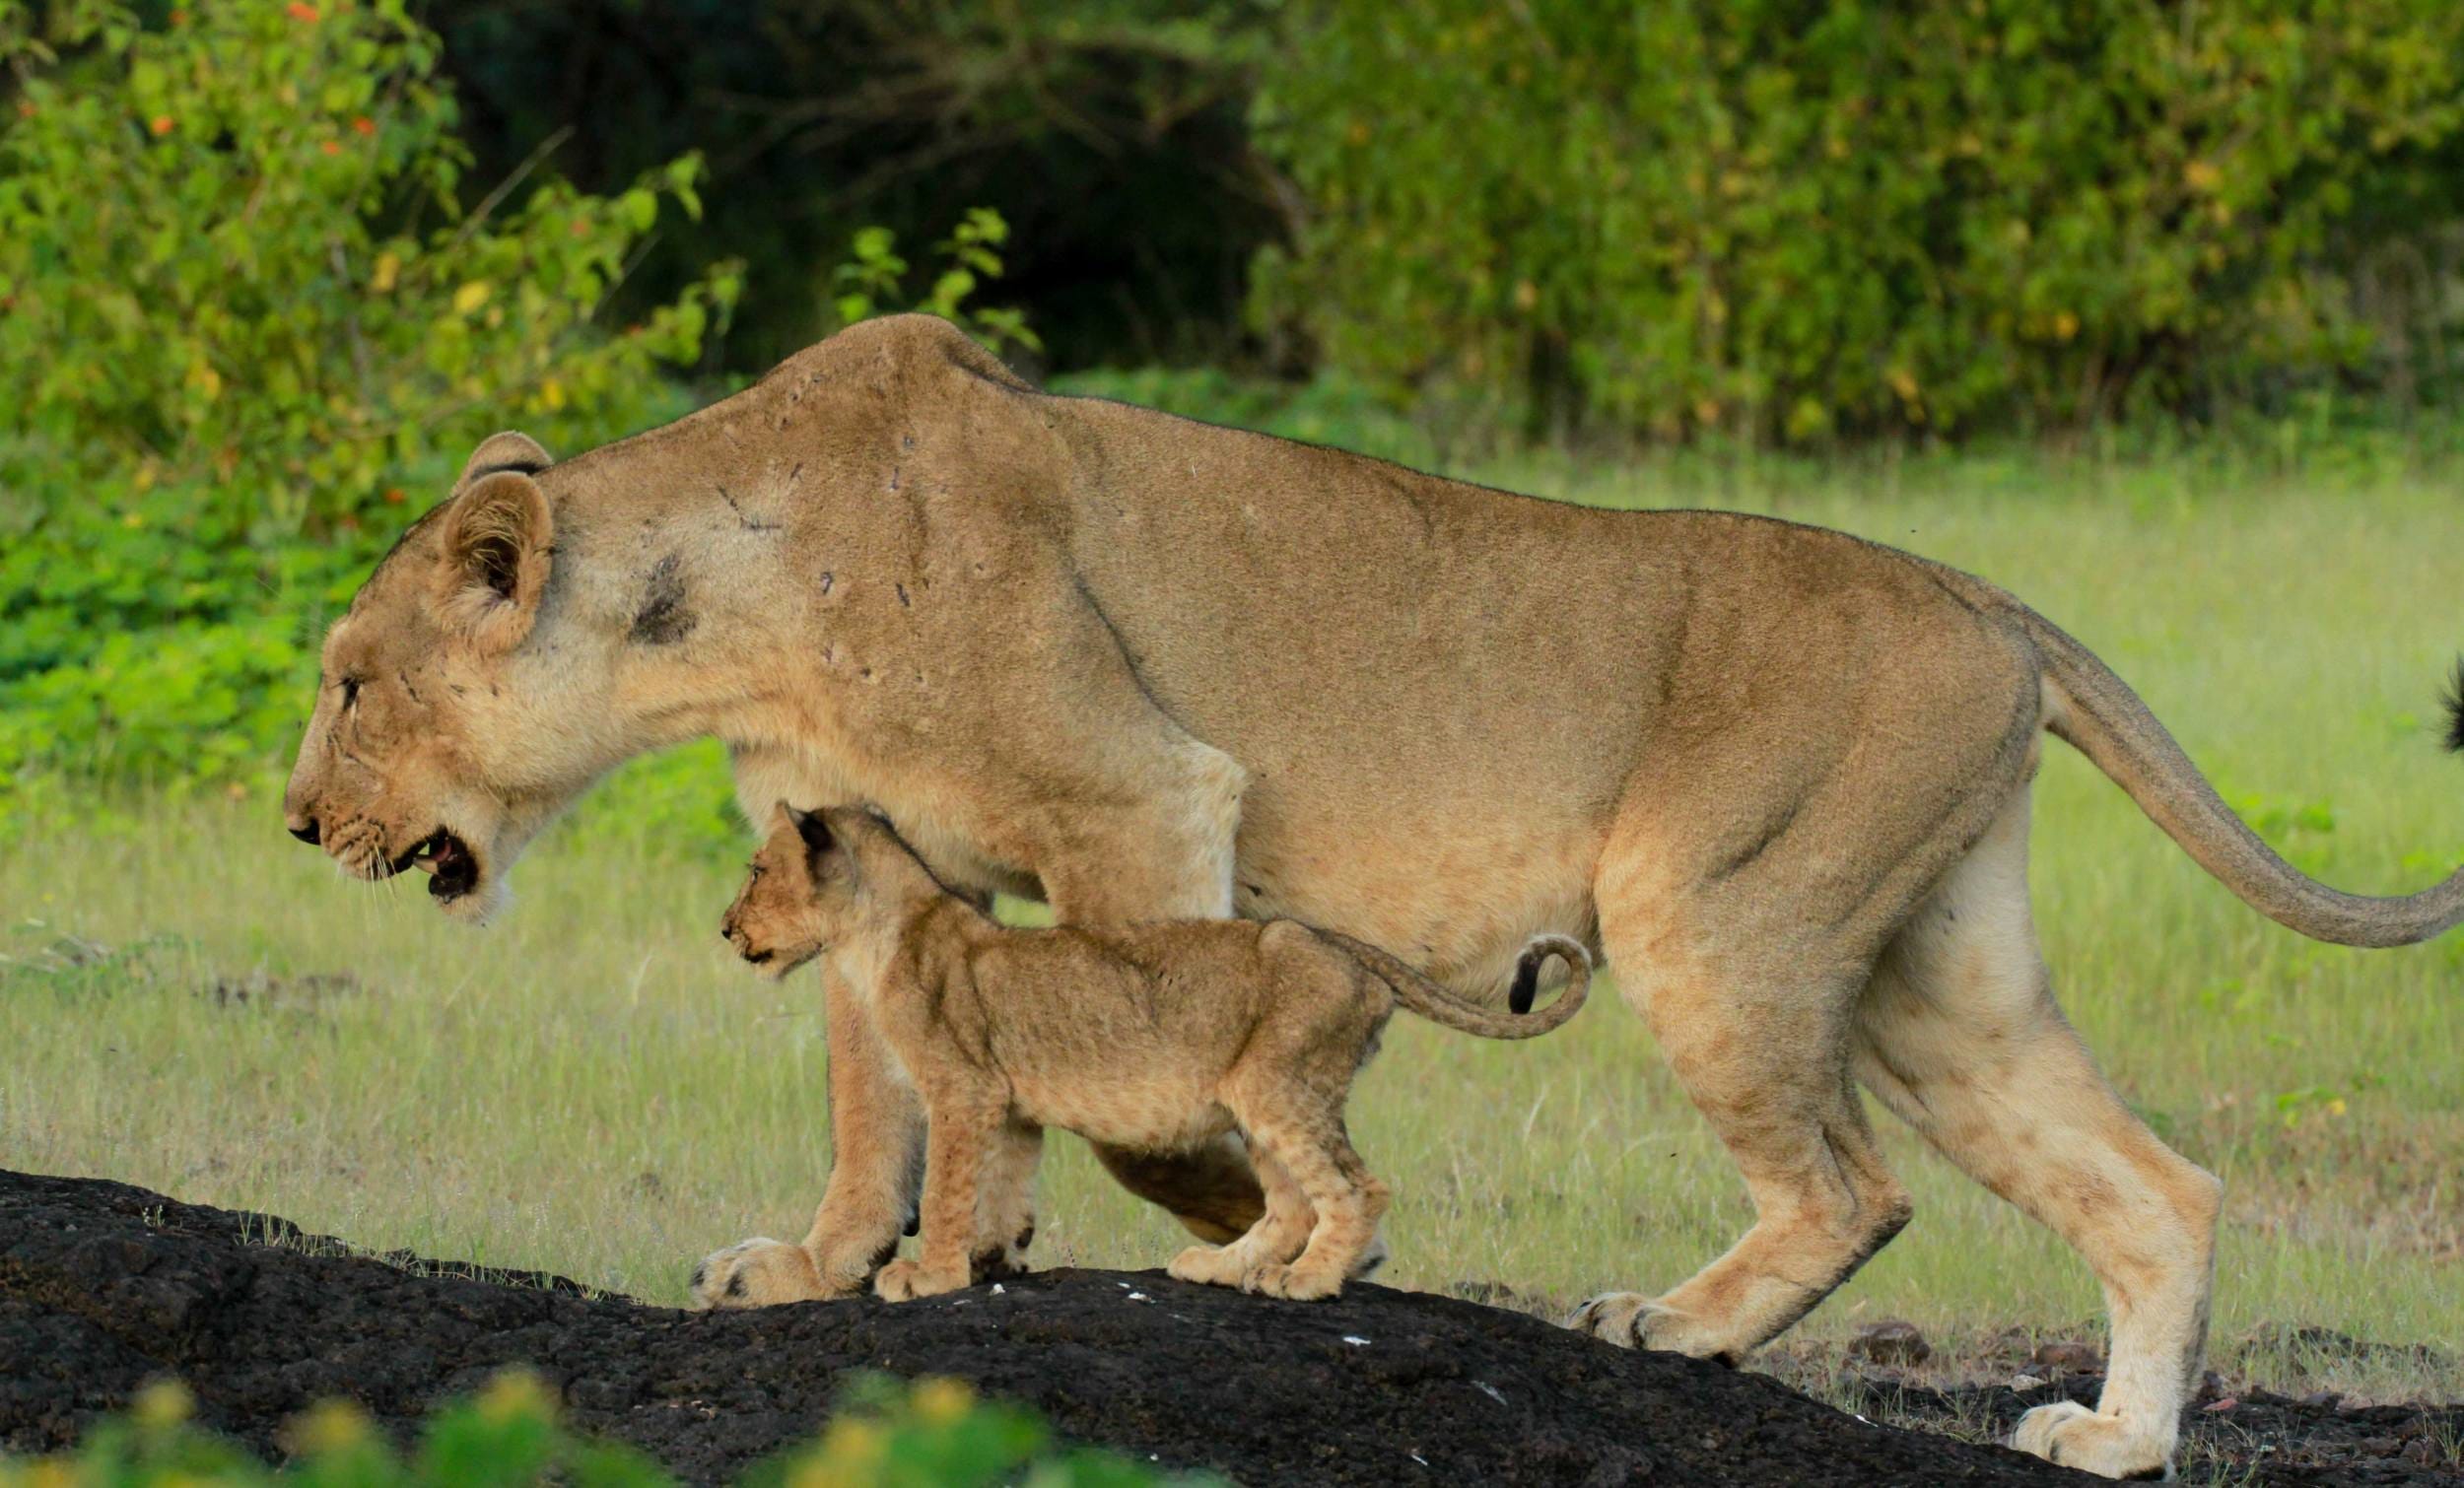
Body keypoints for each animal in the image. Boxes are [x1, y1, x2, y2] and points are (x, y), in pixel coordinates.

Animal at [687, 803, 1589, 1309]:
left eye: (757, 869)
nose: (725, 929)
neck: (877, 934)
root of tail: (1348, 948)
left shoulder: (963, 1088)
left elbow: (944, 1190)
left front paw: (930, 1276)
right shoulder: (1007, 1102)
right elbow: (1000, 1188)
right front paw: (988, 1261)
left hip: (1280, 1085)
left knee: (1357, 1188)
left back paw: (1306, 1281)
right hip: (1259, 1095)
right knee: (1292, 1204)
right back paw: (1222, 1270)